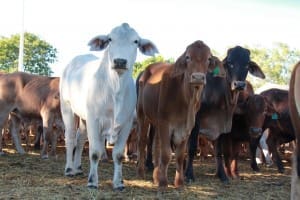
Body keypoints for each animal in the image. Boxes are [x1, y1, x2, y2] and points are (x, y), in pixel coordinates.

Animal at [137, 40, 212, 189]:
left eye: (208, 59)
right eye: (188, 57)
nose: (198, 77)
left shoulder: (187, 127)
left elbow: (180, 155)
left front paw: (179, 182)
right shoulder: (165, 123)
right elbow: (166, 153)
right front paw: (163, 182)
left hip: (156, 120)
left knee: (156, 144)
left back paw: (155, 175)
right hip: (143, 114)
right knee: (143, 141)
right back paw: (141, 171)